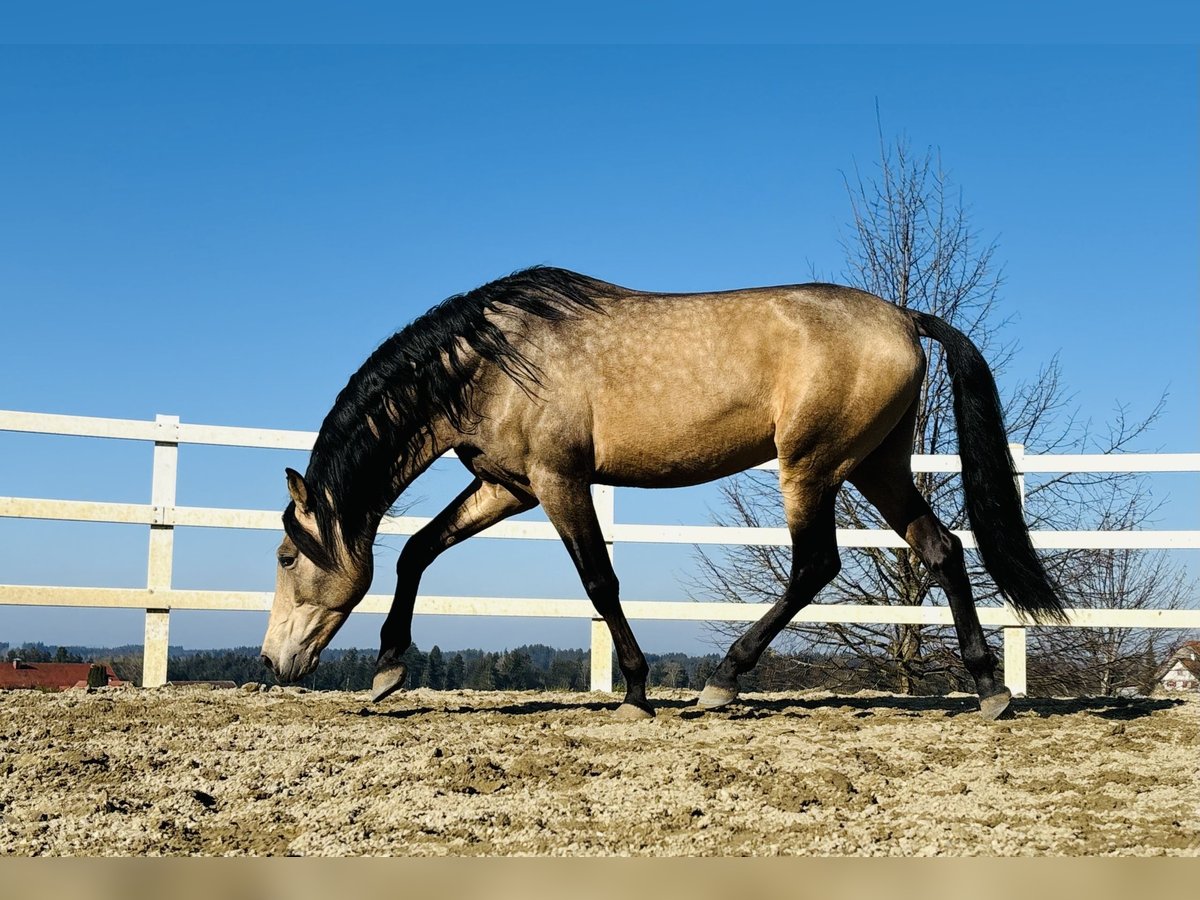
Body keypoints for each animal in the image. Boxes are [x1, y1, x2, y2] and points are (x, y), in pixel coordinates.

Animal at [260, 266, 1060, 720]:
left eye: (285, 557)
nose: (272, 664)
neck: (491, 362)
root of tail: (904, 318)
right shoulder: (506, 486)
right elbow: (417, 552)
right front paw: (388, 671)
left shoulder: (559, 481)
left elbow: (599, 580)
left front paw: (638, 692)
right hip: (876, 466)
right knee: (941, 546)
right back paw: (989, 690)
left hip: (812, 467)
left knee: (816, 565)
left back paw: (722, 683)